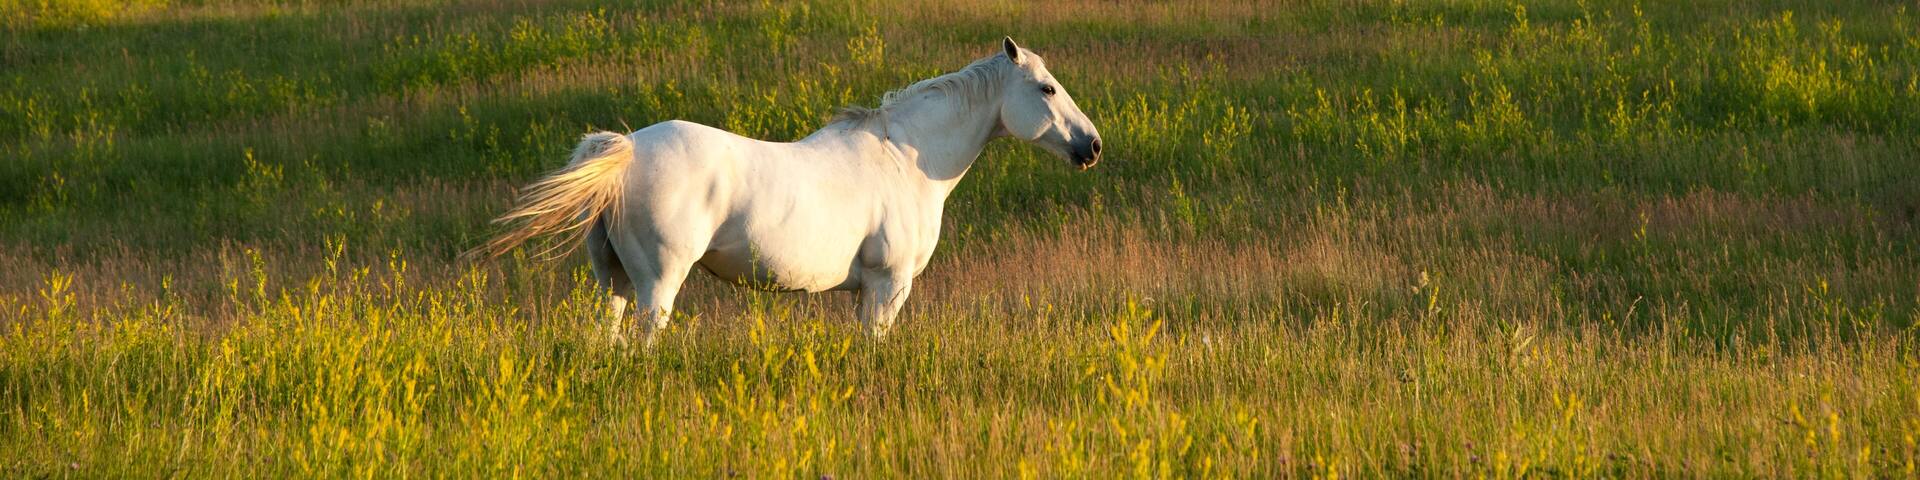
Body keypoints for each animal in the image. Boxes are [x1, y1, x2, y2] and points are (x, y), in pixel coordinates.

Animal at [467, 37, 1103, 346]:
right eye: (1046, 89)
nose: (1091, 146)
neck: (906, 158)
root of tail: (624, 152)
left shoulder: (864, 293)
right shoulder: (889, 287)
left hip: (614, 281)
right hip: (658, 283)